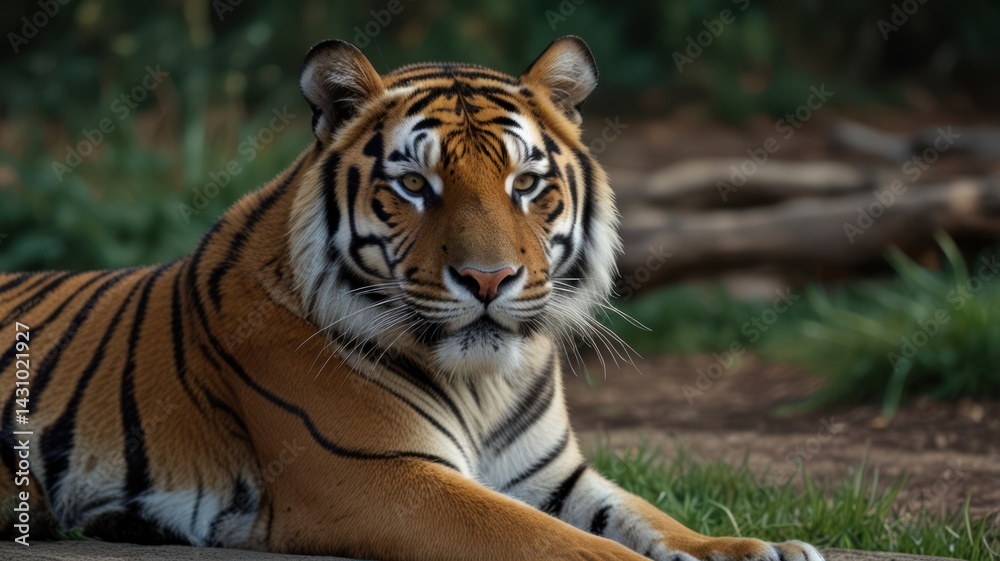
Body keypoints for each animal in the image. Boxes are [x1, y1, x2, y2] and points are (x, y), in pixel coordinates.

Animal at [0, 36, 823, 560]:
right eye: (414, 185)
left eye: (526, 183)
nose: (489, 280)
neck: (488, 382)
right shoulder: (380, 474)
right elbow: (567, 546)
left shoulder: (552, 474)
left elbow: (651, 518)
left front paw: (761, 547)